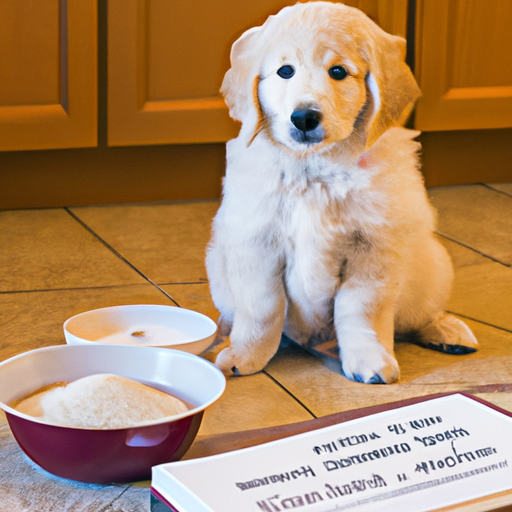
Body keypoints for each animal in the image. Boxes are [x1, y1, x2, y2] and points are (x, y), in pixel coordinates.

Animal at [206, 1, 478, 384]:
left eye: (338, 72)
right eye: (285, 71)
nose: (304, 117)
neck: (316, 170)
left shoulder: (374, 249)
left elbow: (361, 309)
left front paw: (369, 360)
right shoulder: (256, 242)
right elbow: (262, 309)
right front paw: (246, 354)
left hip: (432, 264)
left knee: (418, 317)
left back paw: (446, 331)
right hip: (217, 265)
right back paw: (224, 330)